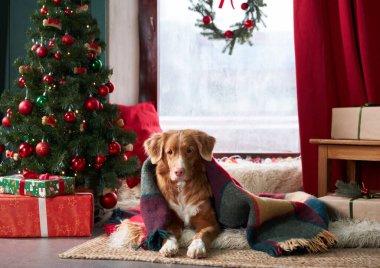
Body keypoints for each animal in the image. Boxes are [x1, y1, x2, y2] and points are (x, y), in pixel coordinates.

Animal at [143, 129, 221, 258]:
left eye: (189, 150)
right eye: (169, 152)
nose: (179, 172)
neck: (182, 187)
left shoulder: (210, 222)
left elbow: (203, 233)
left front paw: (197, 247)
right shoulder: (171, 218)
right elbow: (168, 232)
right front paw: (168, 246)